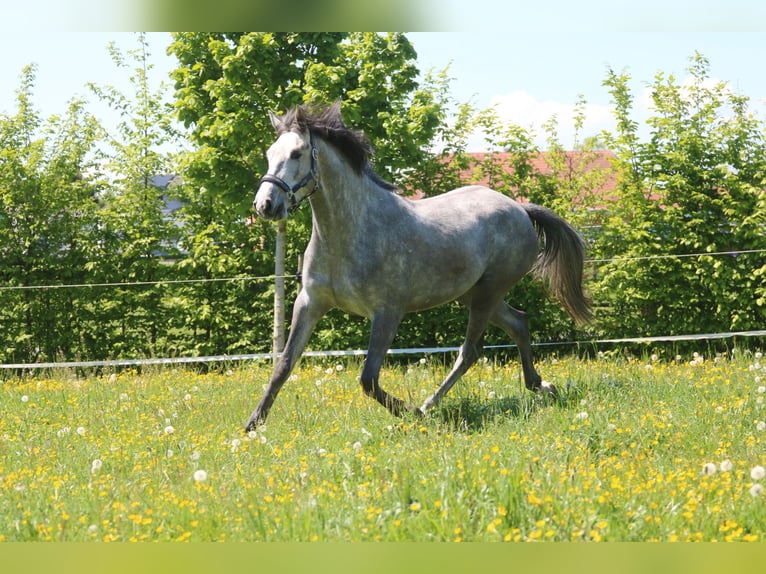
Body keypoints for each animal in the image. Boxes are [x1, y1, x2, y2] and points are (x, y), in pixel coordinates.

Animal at [246, 103, 591, 431]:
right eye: (269, 154)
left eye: (297, 153)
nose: (265, 205)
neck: (351, 232)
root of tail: (520, 209)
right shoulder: (310, 303)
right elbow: (283, 364)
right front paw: (252, 425)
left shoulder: (387, 313)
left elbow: (368, 379)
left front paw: (408, 412)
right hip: (473, 294)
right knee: (518, 323)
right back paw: (541, 386)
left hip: (488, 292)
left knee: (470, 350)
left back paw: (428, 406)